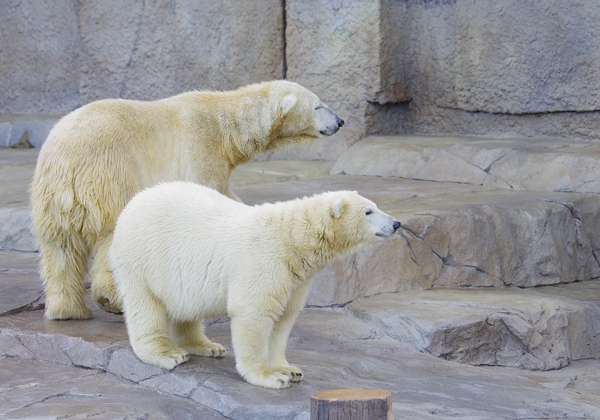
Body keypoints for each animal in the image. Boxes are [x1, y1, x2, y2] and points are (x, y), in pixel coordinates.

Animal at [30, 80, 344, 320]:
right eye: (318, 105)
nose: (341, 121)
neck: (226, 125)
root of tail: (67, 165)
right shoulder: (199, 145)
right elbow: (205, 193)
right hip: (111, 176)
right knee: (110, 236)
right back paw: (111, 299)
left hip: (50, 198)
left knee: (59, 249)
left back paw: (66, 310)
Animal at [109, 182, 398, 388]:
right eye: (368, 211)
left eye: (374, 206)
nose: (396, 223)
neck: (291, 239)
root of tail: (133, 201)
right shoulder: (264, 261)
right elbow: (255, 314)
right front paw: (270, 377)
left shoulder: (295, 278)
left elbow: (283, 319)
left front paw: (289, 369)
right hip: (144, 258)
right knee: (145, 305)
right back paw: (167, 354)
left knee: (186, 308)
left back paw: (207, 346)